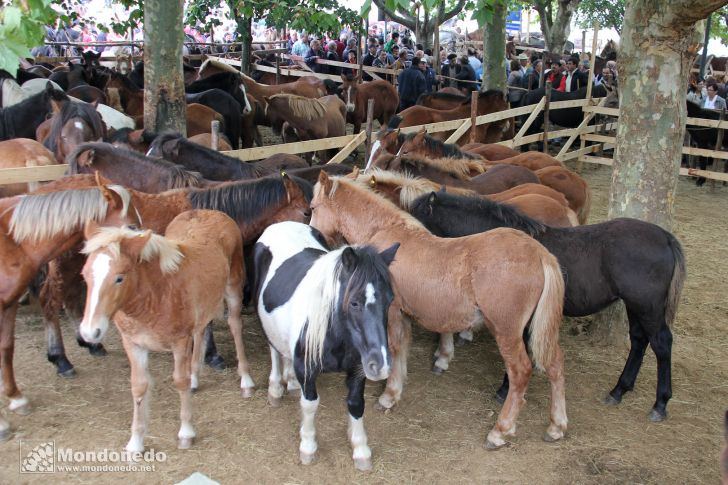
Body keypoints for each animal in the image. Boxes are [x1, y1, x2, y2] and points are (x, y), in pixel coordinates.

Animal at [79, 210, 256, 452]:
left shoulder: (179, 342)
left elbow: (179, 381)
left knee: (235, 326)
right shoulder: (133, 344)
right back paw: (195, 378)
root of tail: (212, 212)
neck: (155, 294)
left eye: (119, 277)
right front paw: (135, 442)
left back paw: (245, 380)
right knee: (201, 330)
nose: (90, 333)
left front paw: (186, 433)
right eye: (84, 275)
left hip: (233, 289)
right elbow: (139, 386)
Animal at [252, 222, 398, 468]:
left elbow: (356, 404)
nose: (381, 366)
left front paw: (360, 449)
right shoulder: (307, 369)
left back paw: (291, 382)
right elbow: (310, 404)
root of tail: (282, 224)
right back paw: (275, 389)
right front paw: (308, 446)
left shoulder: (357, 369)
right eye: (354, 302)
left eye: (389, 300)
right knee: (274, 350)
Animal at [308, 172, 568, 448]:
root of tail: (540, 254)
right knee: (555, 364)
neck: (384, 230)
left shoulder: (390, 313)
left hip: (507, 331)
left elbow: (394, 346)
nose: (317, 239)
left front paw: (388, 395)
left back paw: (500, 430)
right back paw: (556, 426)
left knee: (520, 372)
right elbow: (402, 347)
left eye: (312, 208)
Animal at [410, 189, 688, 420]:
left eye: (416, 219)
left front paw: (505, 389)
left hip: (647, 306)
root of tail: (665, 237)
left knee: (661, 343)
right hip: (635, 306)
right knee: (639, 340)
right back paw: (619, 390)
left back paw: (660, 404)